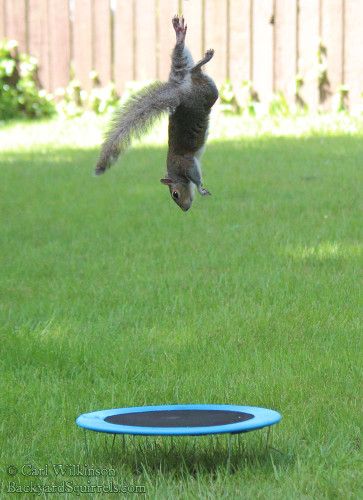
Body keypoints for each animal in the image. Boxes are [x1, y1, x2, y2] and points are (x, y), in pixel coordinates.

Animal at [94, 15, 219, 211]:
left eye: (175, 194)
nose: (185, 209)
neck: (175, 173)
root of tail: (181, 92)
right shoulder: (188, 164)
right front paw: (201, 189)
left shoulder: (185, 164)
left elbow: (196, 178)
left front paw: (200, 189)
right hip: (202, 88)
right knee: (185, 64)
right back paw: (182, 38)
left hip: (205, 94)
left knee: (192, 70)